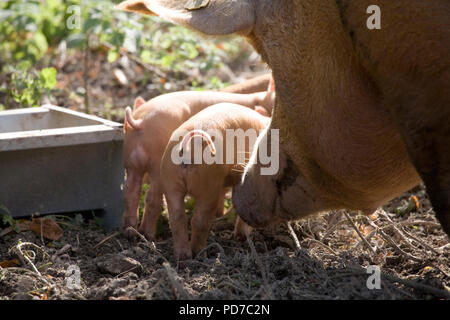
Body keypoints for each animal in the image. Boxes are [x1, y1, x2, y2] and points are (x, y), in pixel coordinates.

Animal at [118, 0, 450, 235]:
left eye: (270, 61)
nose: (243, 186)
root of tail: (137, 123)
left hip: (141, 166)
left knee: (134, 190)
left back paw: (135, 230)